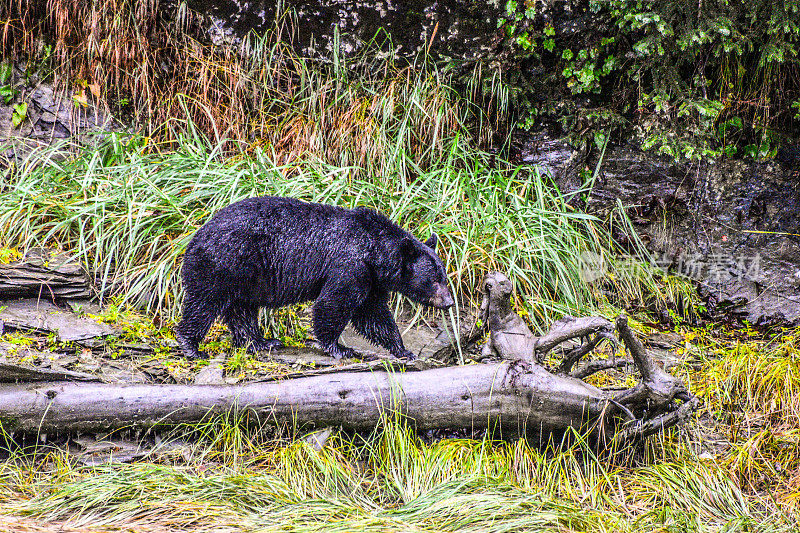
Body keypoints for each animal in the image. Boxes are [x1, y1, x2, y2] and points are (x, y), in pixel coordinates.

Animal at [175, 196, 454, 362]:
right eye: (434, 280)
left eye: (444, 275)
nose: (450, 302)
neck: (373, 251)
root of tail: (193, 239)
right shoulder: (350, 267)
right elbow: (333, 305)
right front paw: (340, 348)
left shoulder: (372, 280)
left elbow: (374, 315)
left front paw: (403, 350)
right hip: (223, 264)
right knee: (204, 304)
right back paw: (191, 346)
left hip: (245, 278)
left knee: (242, 311)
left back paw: (262, 342)